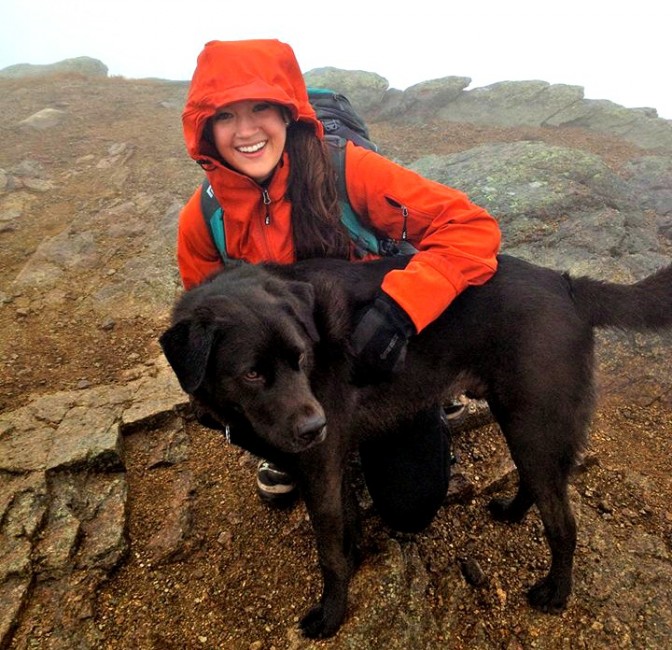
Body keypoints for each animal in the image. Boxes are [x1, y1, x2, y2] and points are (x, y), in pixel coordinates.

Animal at [160, 252, 672, 632]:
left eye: (301, 357)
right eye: (251, 373)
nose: (314, 427)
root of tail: (568, 285)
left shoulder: (319, 465)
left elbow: (328, 554)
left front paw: (331, 615)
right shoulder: (332, 460)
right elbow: (347, 527)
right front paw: (357, 562)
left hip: (534, 419)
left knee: (563, 523)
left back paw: (556, 592)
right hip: (521, 419)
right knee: (537, 482)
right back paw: (511, 512)